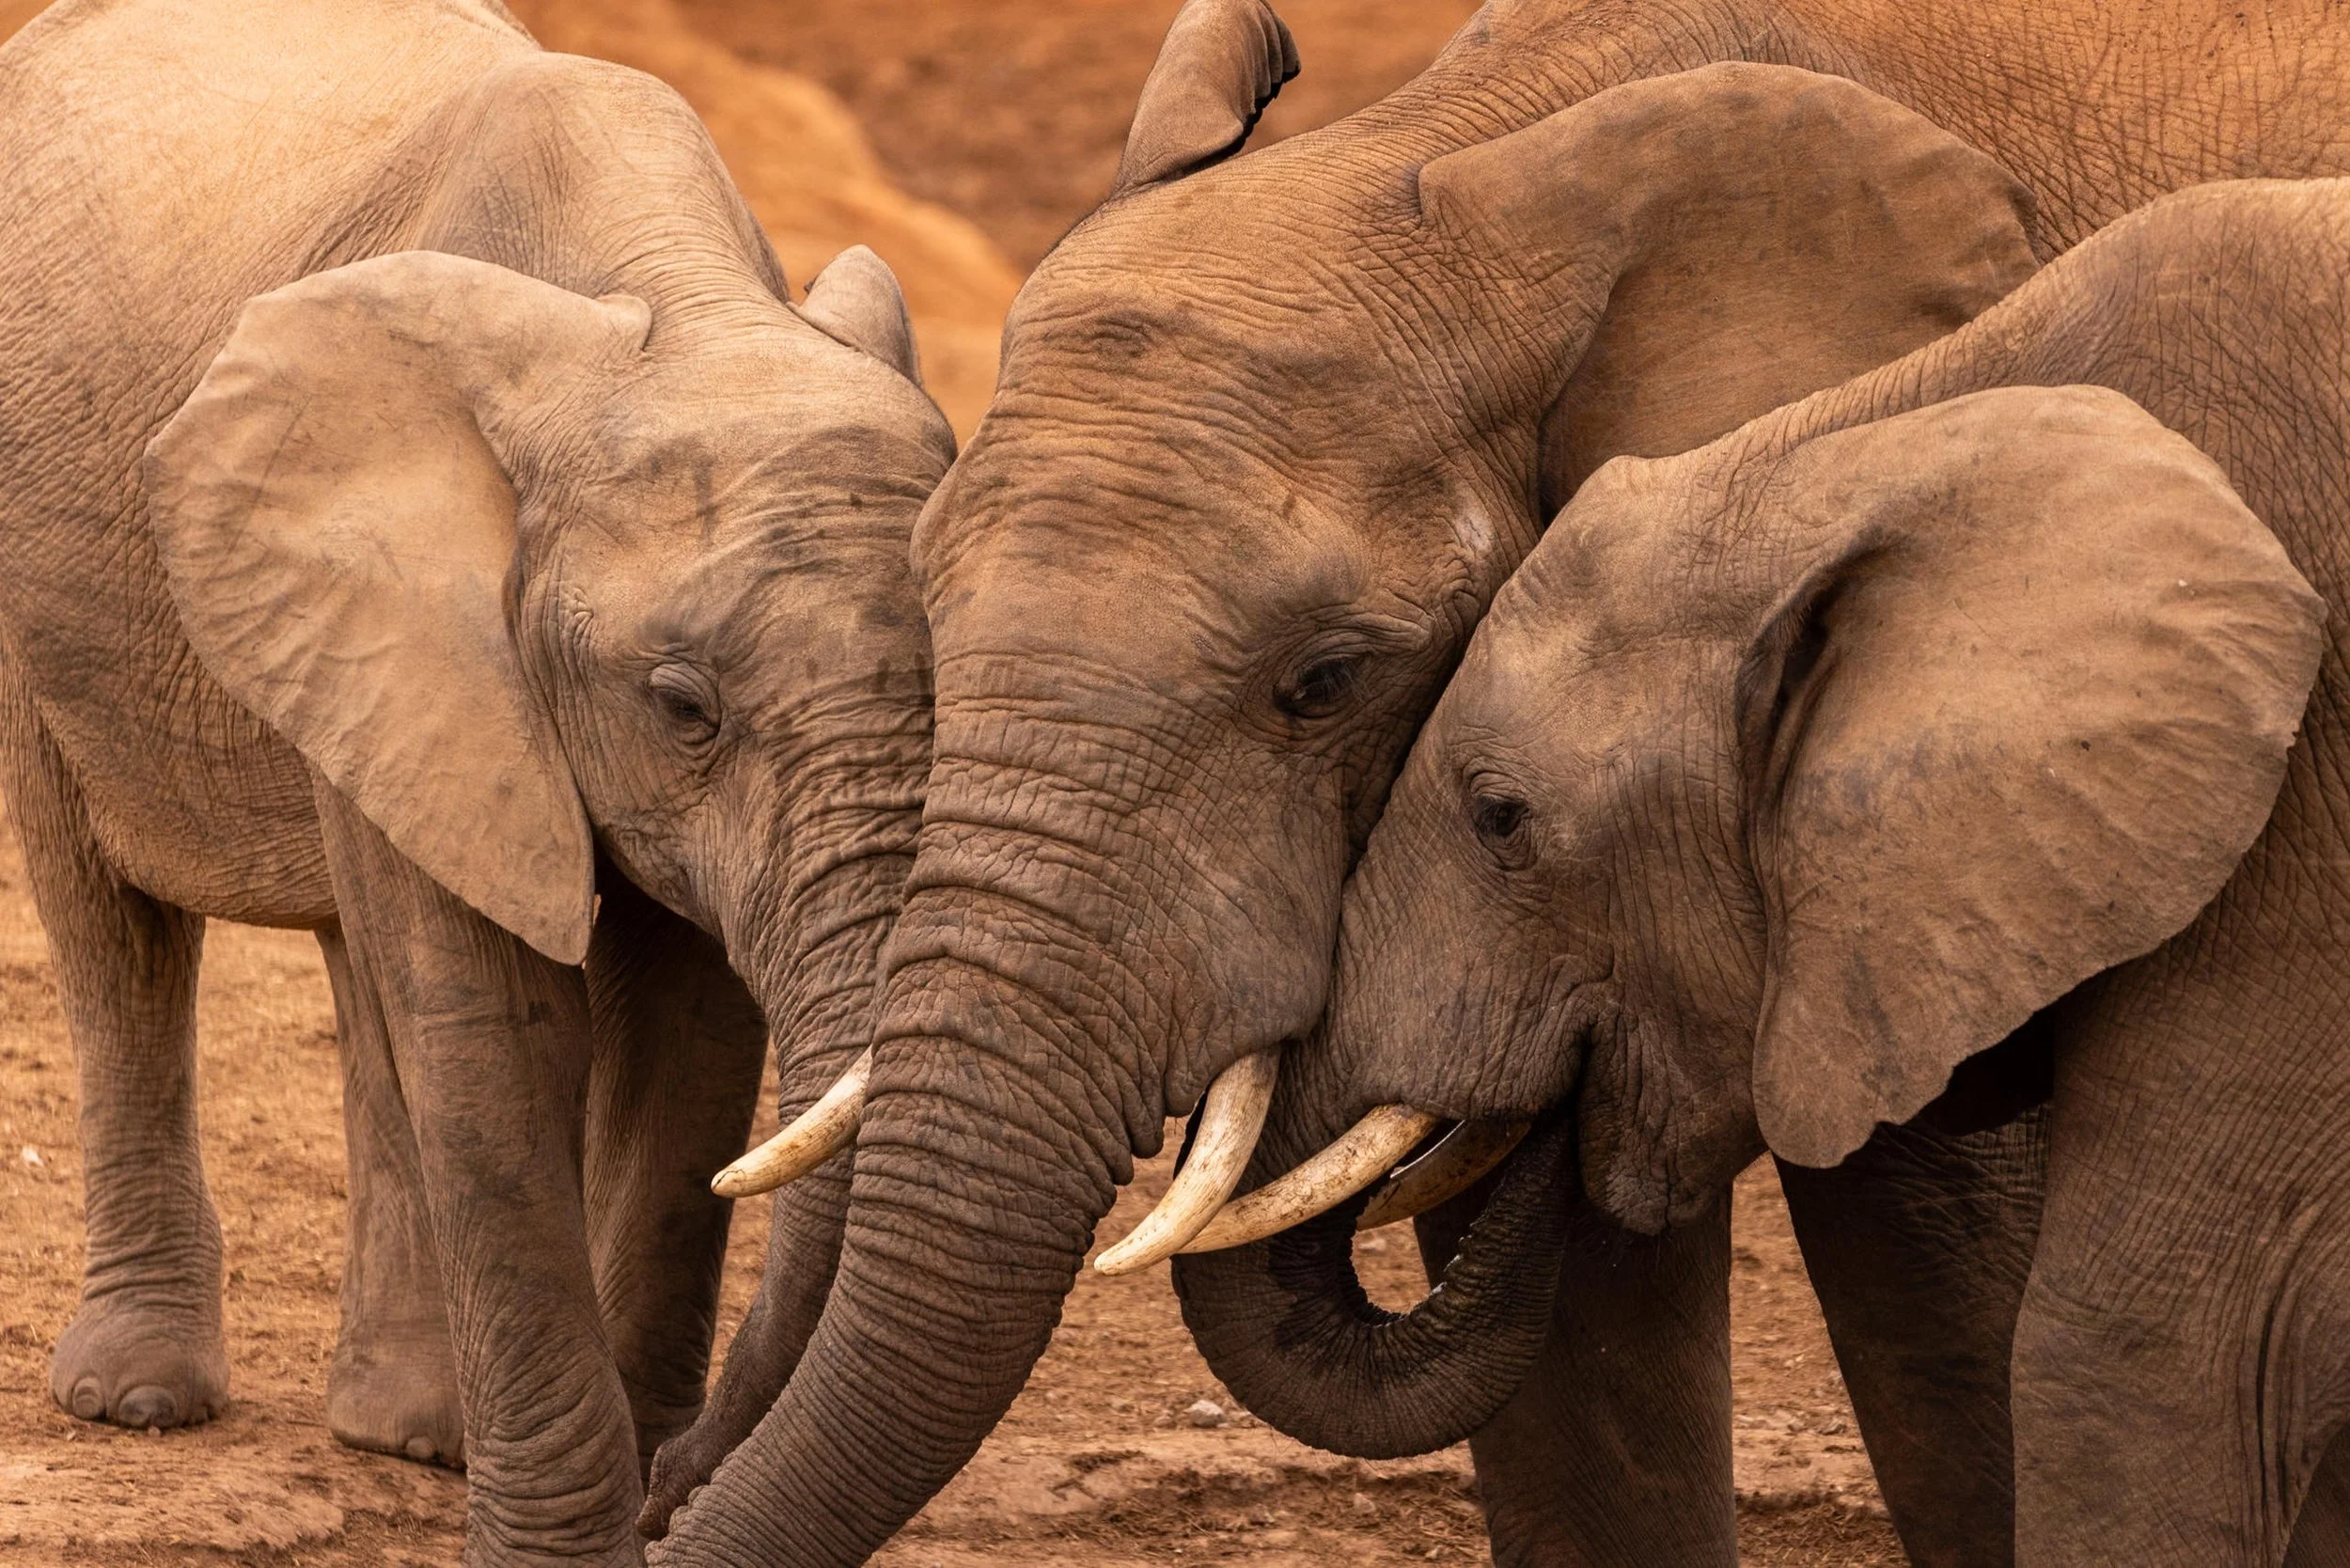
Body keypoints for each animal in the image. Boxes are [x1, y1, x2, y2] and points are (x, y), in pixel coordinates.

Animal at [0, 1, 947, 1561]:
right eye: (684, 707)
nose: (682, 1489)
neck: (669, 299)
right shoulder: (431, 619)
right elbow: (500, 1028)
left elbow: (689, 1035)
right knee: (113, 926)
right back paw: (139, 1400)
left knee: (359, 973)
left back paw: (407, 1430)